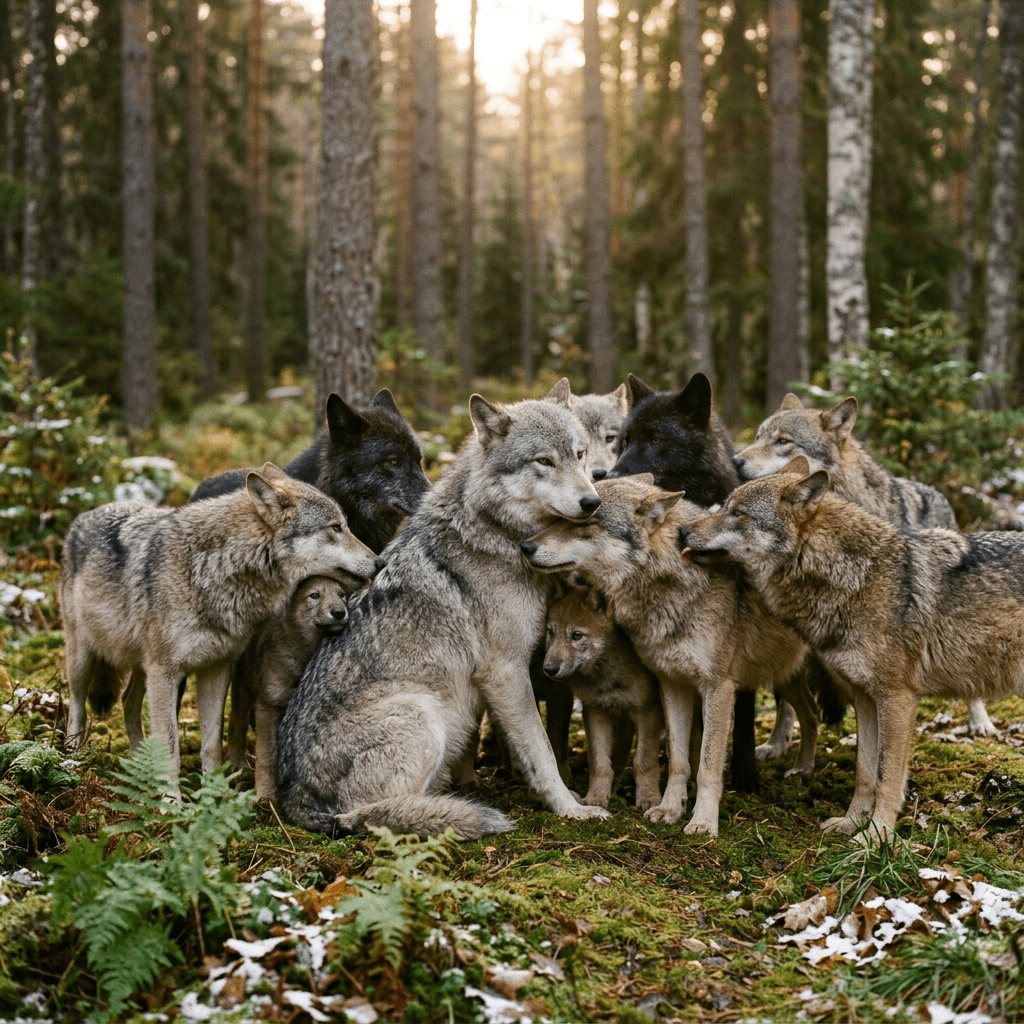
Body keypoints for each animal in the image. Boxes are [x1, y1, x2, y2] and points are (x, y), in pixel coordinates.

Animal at [226, 575, 350, 801]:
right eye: (314, 595)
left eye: (342, 595)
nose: (339, 612)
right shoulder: (268, 706)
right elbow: (267, 757)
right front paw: (265, 796)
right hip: (244, 690)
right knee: (235, 723)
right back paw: (237, 766)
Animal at [275, 381, 611, 840]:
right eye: (544, 461)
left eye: (579, 455)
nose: (592, 501)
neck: (496, 532)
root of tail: (293, 799)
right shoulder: (505, 670)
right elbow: (541, 751)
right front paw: (570, 809)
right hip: (422, 712)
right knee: (370, 815)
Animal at [542, 585, 663, 810]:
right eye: (551, 632)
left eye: (577, 635)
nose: (549, 669)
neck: (606, 676)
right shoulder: (595, 711)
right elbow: (599, 763)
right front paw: (596, 798)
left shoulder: (647, 711)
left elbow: (644, 761)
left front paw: (649, 798)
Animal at [683, 456, 1024, 841]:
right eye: (726, 506)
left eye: (737, 513)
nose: (682, 532)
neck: (856, 577)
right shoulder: (864, 697)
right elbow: (865, 772)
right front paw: (851, 823)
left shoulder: (897, 698)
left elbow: (887, 777)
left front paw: (876, 837)